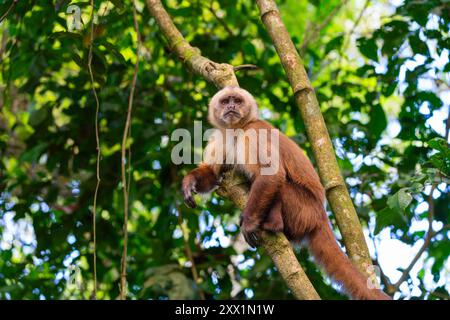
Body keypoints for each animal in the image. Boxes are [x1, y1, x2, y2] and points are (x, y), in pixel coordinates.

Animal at [181, 85, 392, 300]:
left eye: (237, 101)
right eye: (225, 101)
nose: (231, 106)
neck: (236, 130)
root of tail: (322, 214)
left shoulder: (253, 132)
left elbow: (272, 174)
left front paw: (248, 224)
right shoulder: (220, 137)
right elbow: (213, 174)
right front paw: (190, 183)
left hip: (304, 209)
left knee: (277, 184)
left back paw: (273, 224)